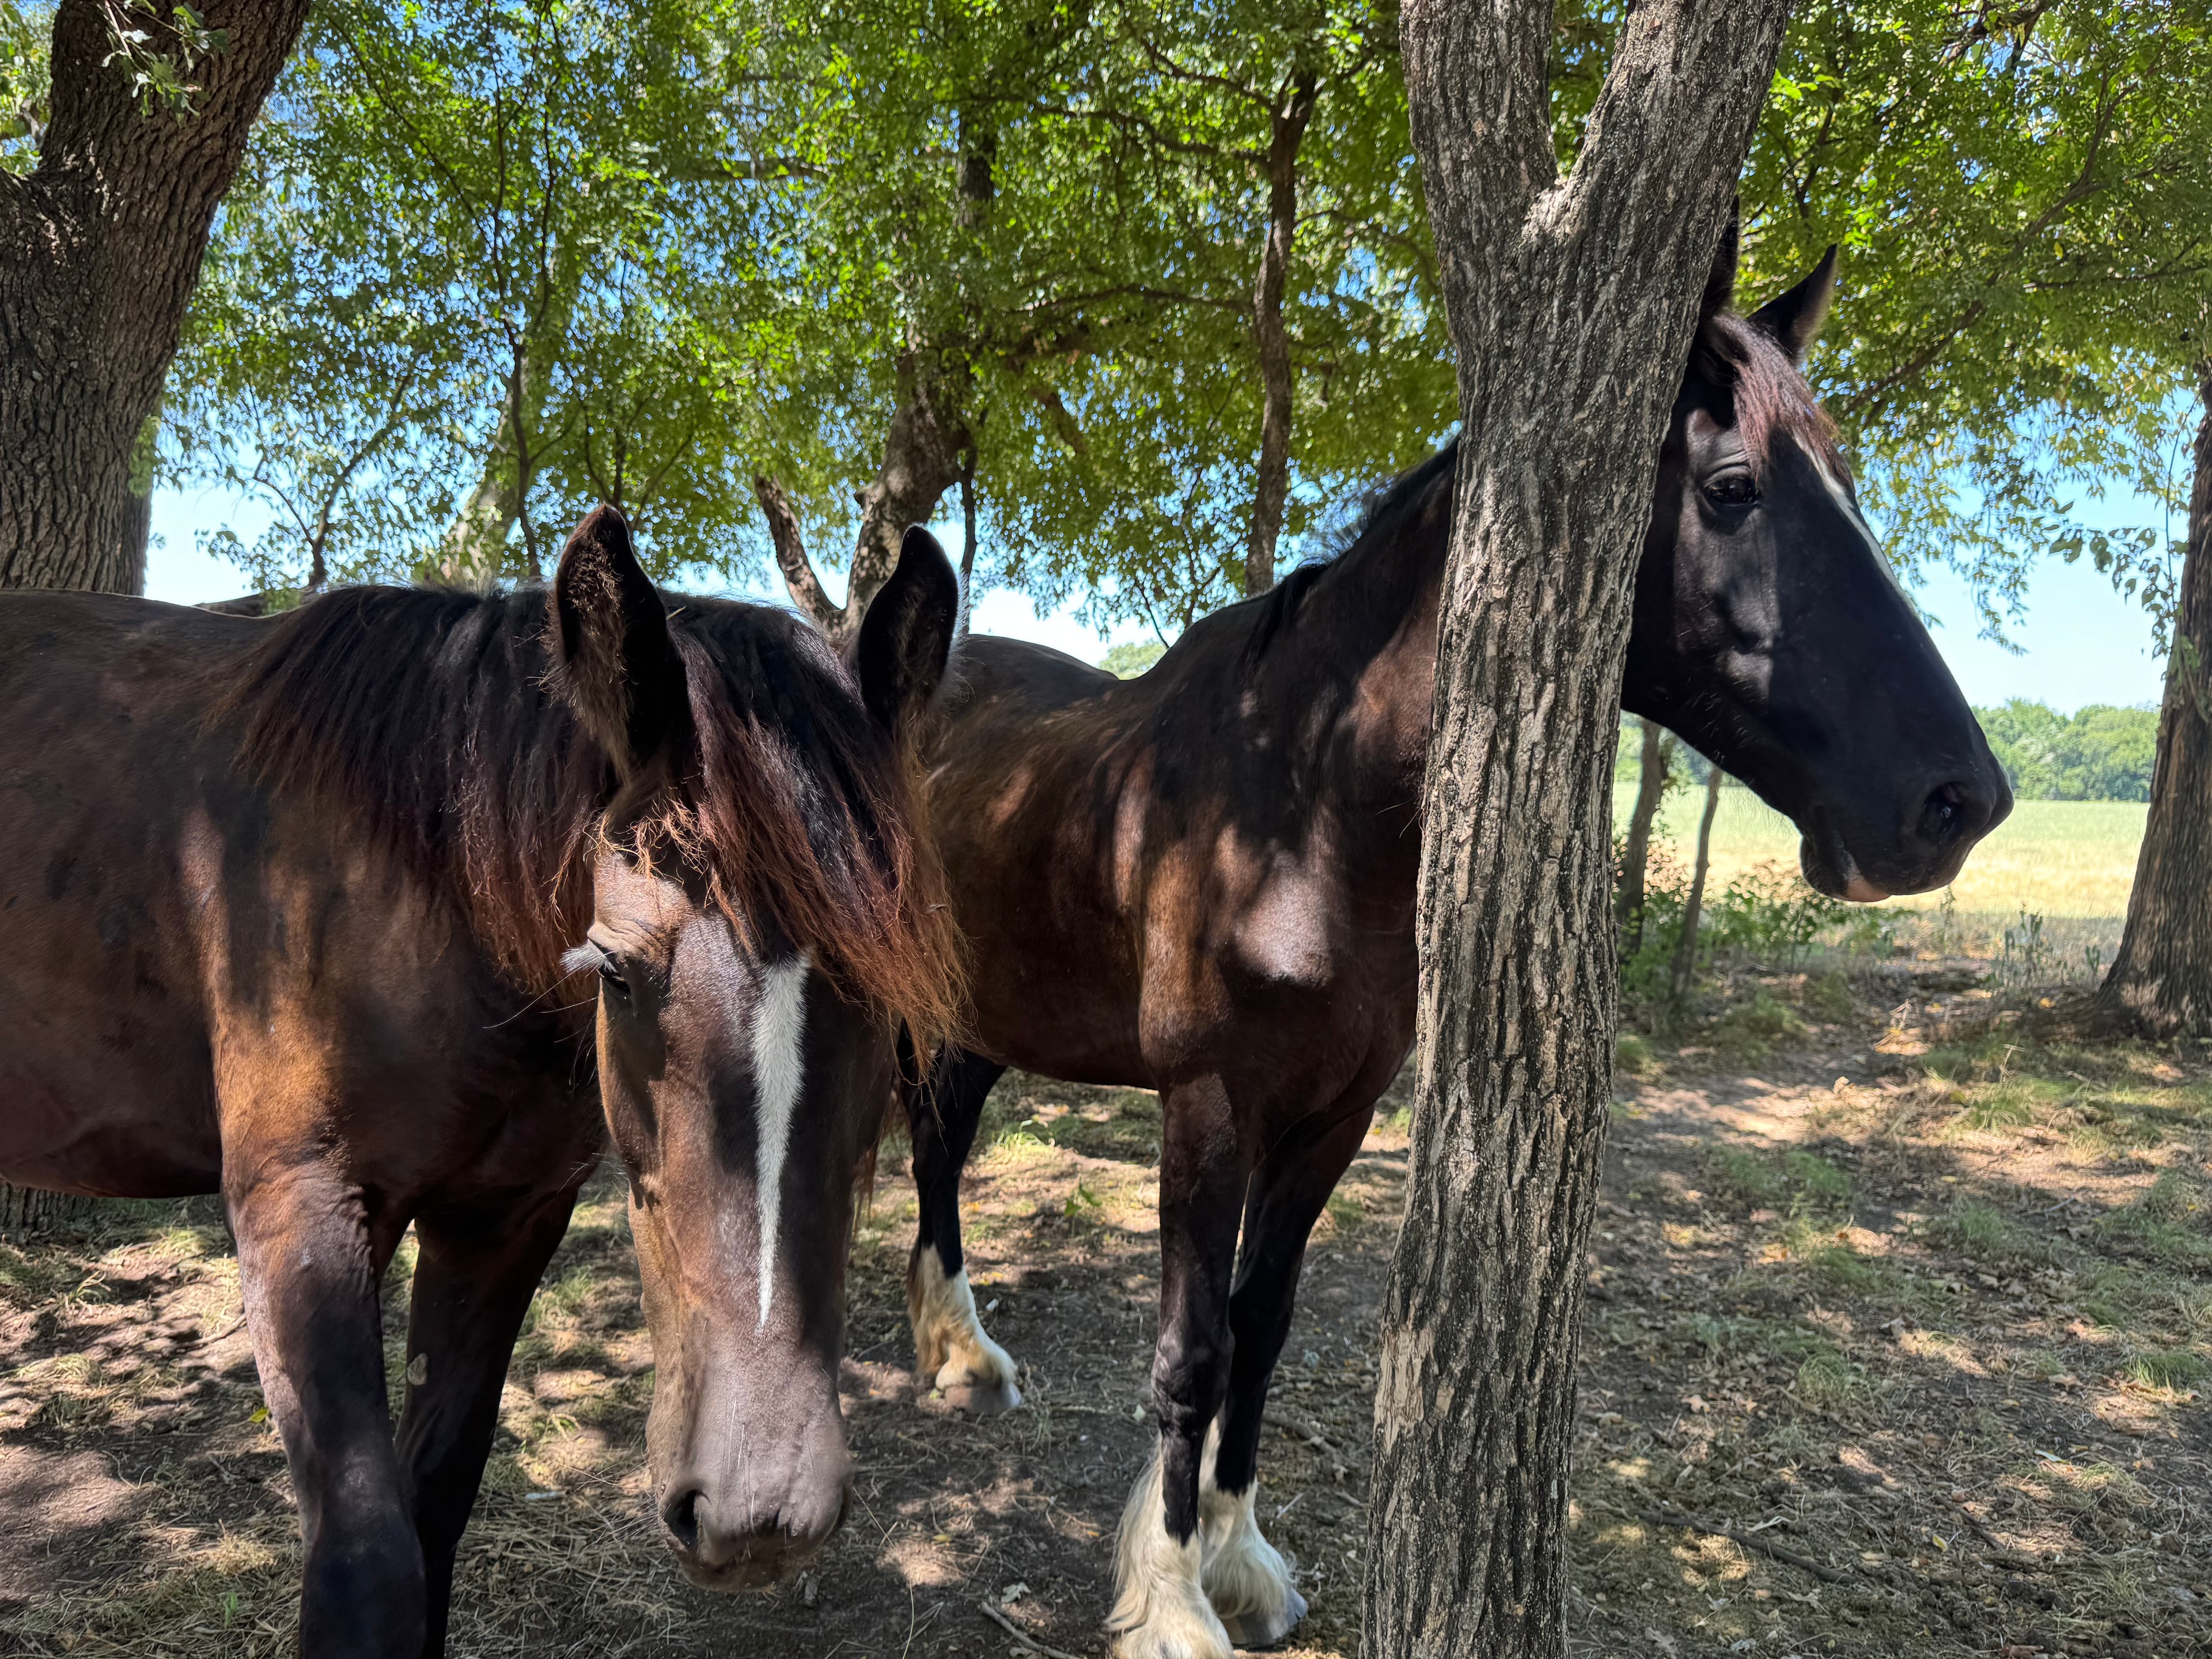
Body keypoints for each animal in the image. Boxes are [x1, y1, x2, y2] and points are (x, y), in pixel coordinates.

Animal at [0, 508, 962, 1657]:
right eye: (617, 970)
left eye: (895, 997)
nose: (761, 1509)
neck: (408, 886)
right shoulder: (299, 1212)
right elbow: (369, 1570)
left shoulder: (502, 1218)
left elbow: (438, 1507)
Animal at [897, 241, 2013, 1659]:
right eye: (1733, 487)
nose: (1960, 801)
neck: (1300, 796)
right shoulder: (1208, 1107)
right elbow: (1193, 1354)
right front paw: (1173, 1605)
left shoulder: (1336, 1112)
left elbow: (1263, 1330)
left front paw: (1243, 1560)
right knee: (915, 1142)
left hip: (994, 1010)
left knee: (945, 1136)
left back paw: (958, 1348)